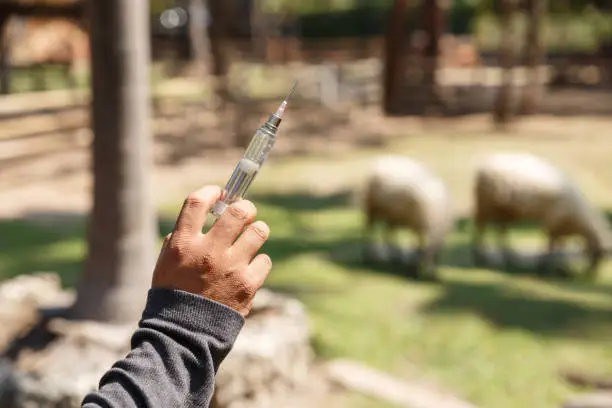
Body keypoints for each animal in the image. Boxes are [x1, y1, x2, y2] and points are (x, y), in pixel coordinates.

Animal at [470, 151, 612, 278]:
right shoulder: (553, 224)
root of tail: (483, 165)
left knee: (501, 231)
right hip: (485, 204)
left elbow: (560, 246)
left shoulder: (562, 229)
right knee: (481, 227)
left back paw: (509, 258)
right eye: (597, 254)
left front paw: (561, 267)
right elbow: (550, 246)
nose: (591, 275)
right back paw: (481, 256)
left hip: (506, 210)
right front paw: (546, 266)